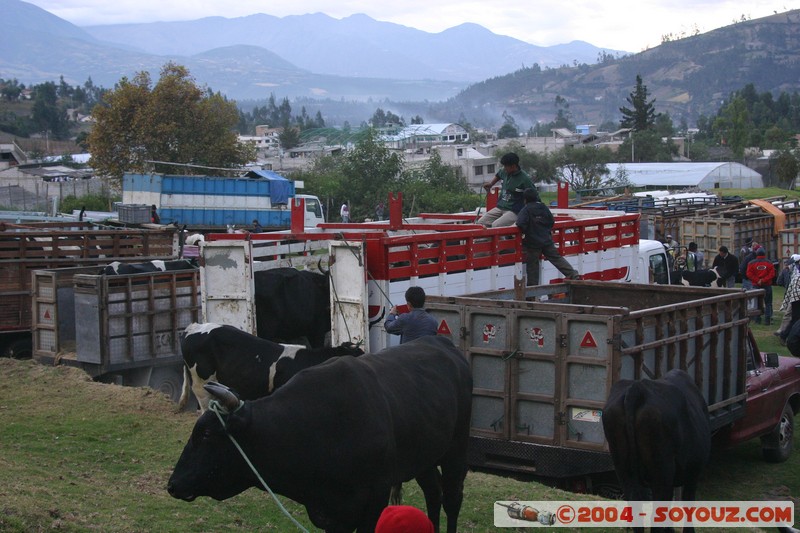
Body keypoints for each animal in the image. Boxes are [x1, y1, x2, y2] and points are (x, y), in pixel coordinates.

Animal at [167, 334, 468, 532]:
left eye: (206, 434)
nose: (172, 484)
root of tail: (440, 343)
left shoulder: (374, 499)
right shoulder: (330, 514)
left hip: (456, 449)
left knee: (452, 499)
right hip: (424, 455)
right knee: (434, 493)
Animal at [604, 370, 708, 532]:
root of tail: (638, 388)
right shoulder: (693, 472)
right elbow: (687, 503)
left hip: (622, 468)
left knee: (636, 505)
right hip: (662, 469)